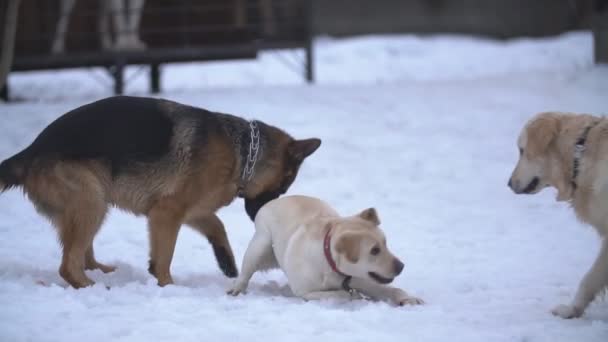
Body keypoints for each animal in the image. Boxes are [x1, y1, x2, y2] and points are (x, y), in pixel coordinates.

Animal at [0, 95, 320, 288]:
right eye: (283, 186)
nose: (259, 217)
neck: (243, 154)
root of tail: (31, 150)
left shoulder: (190, 210)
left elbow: (216, 225)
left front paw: (226, 262)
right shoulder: (167, 213)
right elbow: (165, 256)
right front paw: (167, 286)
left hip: (94, 202)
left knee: (80, 254)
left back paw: (99, 270)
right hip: (90, 202)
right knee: (68, 264)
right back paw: (92, 286)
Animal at [228, 194, 422, 306]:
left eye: (385, 243)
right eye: (374, 250)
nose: (401, 266)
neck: (329, 264)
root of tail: (275, 201)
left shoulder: (363, 279)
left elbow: (392, 290)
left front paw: (409, 298)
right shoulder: (306, 292)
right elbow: (340, 294)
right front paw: (354, 297)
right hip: (261, 245)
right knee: (245, 273)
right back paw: (237, 289)